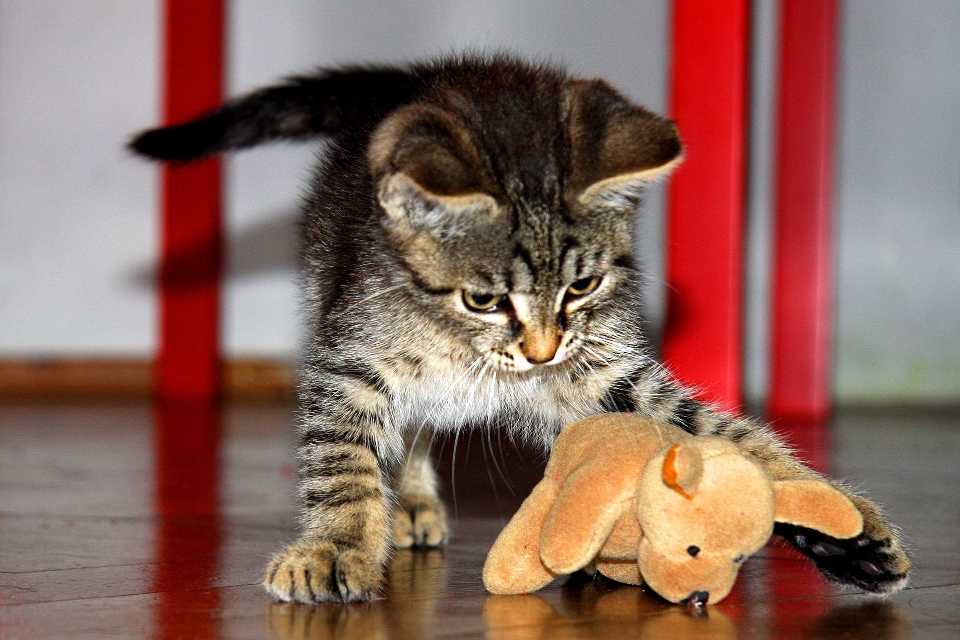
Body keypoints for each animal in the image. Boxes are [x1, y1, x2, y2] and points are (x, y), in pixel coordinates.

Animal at [133, 53, 908, 600]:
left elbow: (724, 436)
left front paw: (839, 518)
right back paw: (406, 500)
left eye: (582, 285)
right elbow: (342, 457)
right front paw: (338, 548)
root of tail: (414, 81)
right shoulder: (349, 358)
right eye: (484, 299)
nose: (540, 349)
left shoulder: (604, 372)